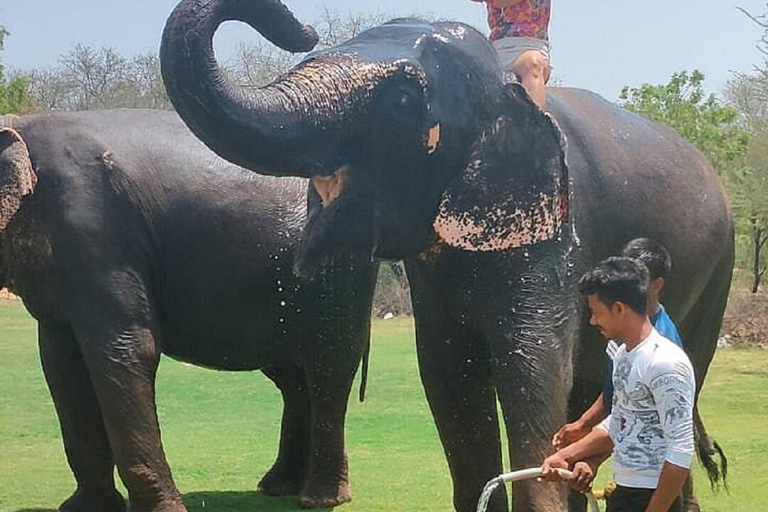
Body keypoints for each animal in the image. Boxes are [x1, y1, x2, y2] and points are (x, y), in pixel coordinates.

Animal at [0, 109, 379, 512]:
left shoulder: (95, 231)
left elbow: (127, 349)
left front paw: (161, 508)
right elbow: (61, 364)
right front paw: (84, 507)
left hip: (339, 273)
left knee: (328, 368)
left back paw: (319, 498)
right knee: (293, 377)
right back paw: (278, 487)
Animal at [159, 2, 733, 511]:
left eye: (402, 100)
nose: (301, 29)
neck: (505, 93)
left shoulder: (555, 240)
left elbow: (530, 367)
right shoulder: (436, 269)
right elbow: (447, 372)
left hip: (718, 270)